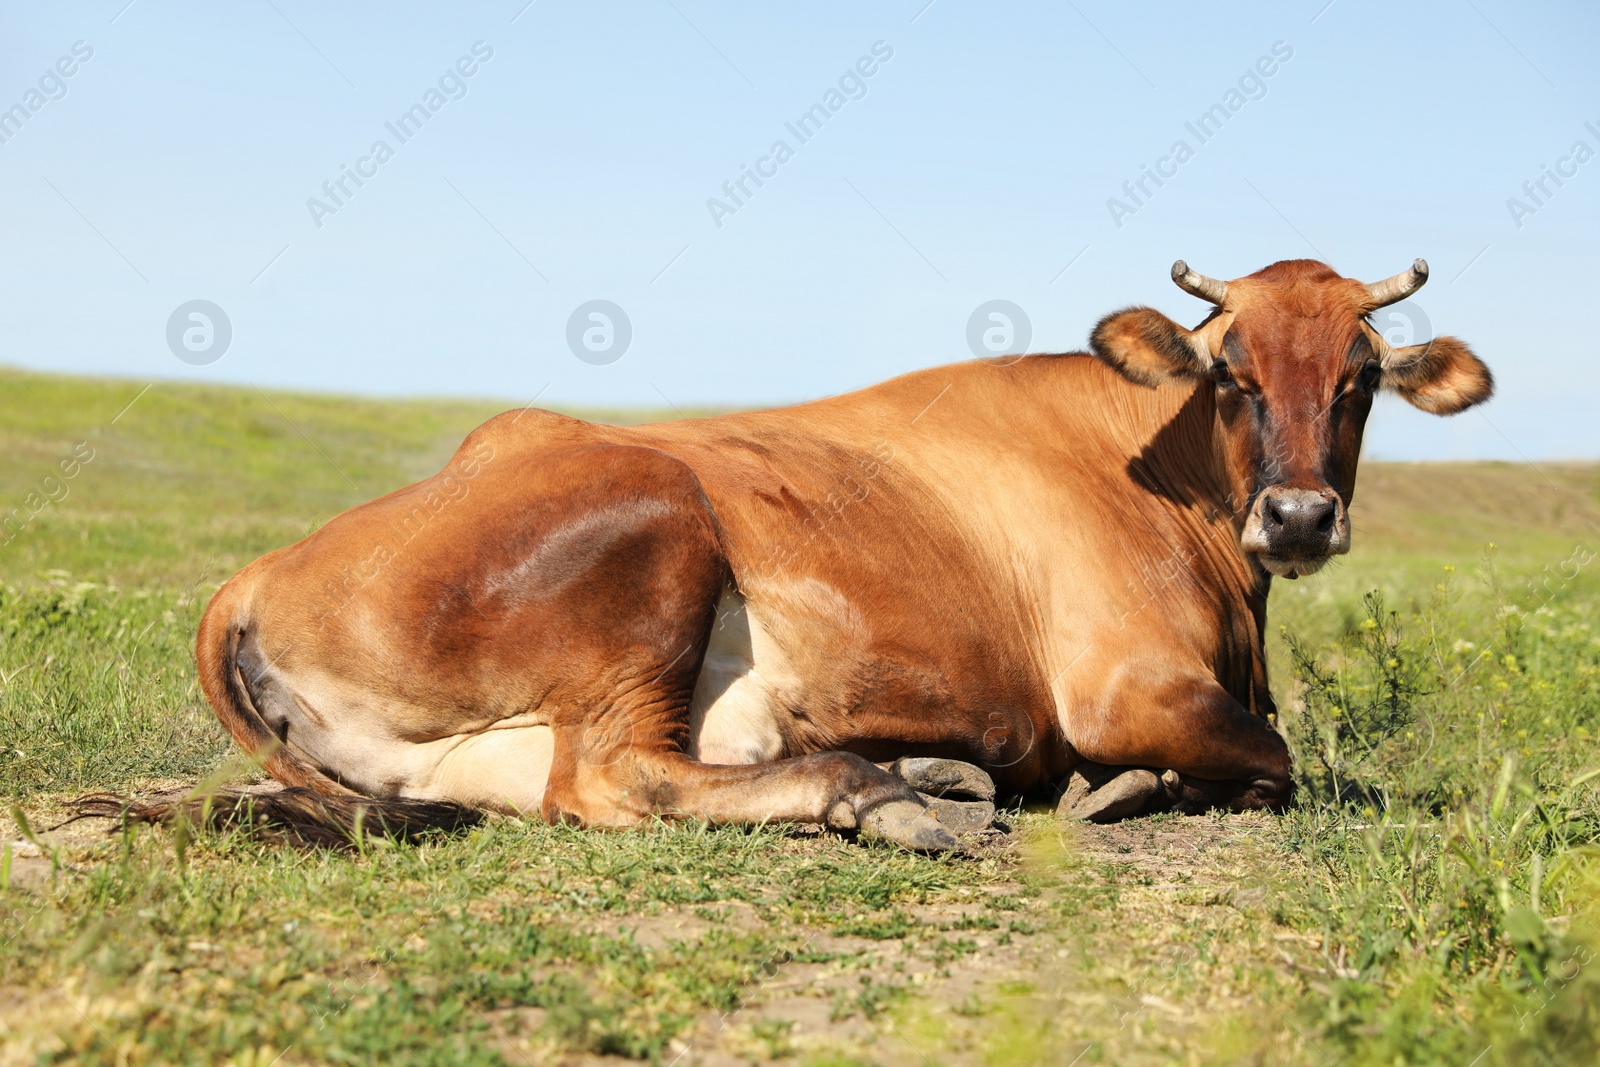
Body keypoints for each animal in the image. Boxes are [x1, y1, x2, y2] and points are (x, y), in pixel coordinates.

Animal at [112, 259, 1484, 851]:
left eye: (1362, 377)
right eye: (1231, 370)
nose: (1297, 517)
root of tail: (257, 571)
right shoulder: (1121, 686)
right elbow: (1275, 761)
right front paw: (1128, 789)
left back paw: (928, 771)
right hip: (653, 526)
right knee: (613, 782)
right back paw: (883, 795)